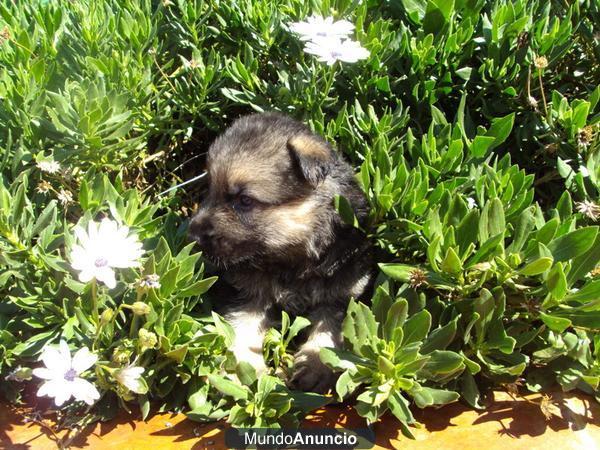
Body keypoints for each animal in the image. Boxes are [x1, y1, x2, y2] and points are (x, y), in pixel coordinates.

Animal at [190, 112, 372, 394]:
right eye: (210, 189)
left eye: (244, 200)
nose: (194, 235)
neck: (290, 261)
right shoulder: (248, 291)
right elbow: (242, 324)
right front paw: (242, 366)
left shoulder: (344, 288)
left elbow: (330, 327)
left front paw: (317, 365)